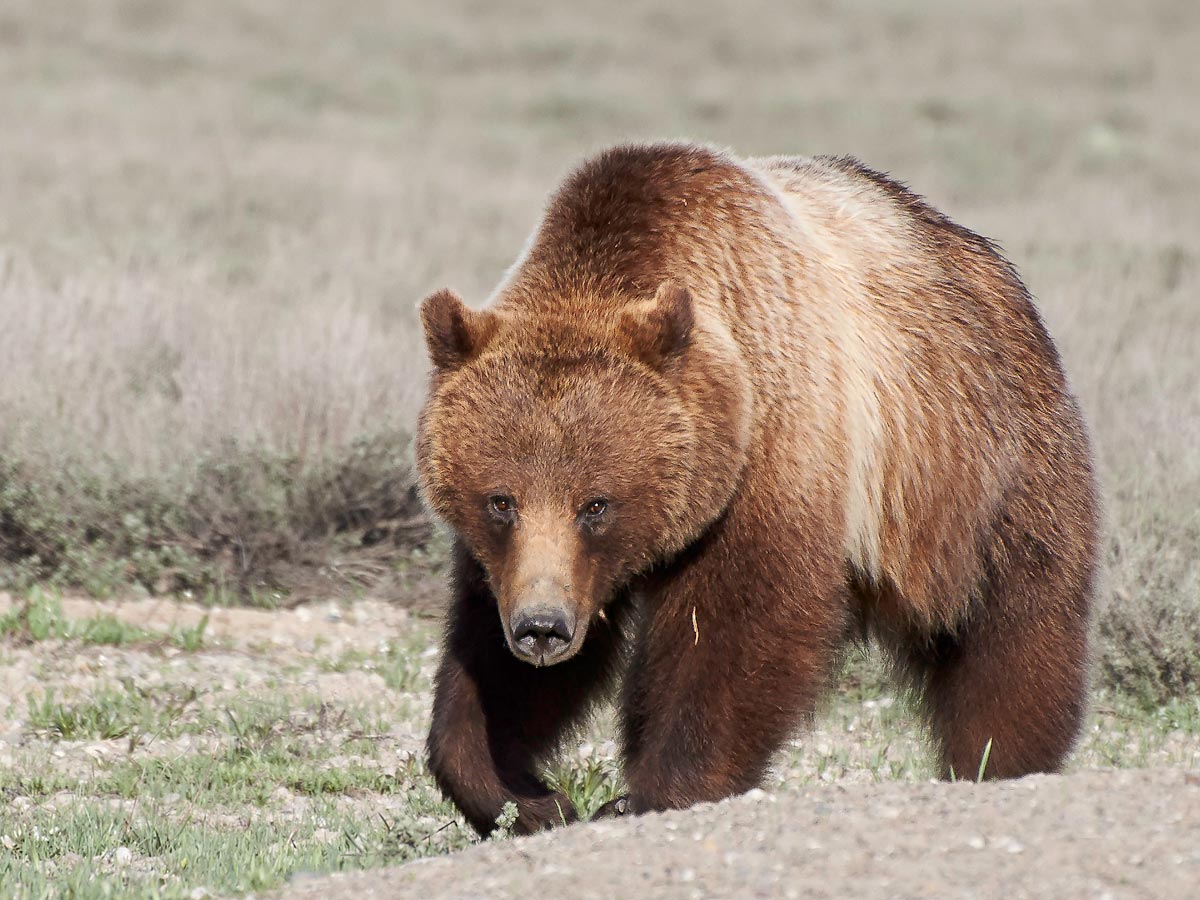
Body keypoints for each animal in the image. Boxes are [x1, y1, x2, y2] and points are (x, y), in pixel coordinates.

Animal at [417, 141, 1099, 840]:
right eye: (501, 500)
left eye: (596, 504)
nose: (542, 628)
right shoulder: (519, 563)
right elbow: (488, 661)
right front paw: (529, 797)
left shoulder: (774, 445)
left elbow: (739, 630)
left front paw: (651, 793)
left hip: (981, 469)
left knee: (1011, 631)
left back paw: (1000, 761)